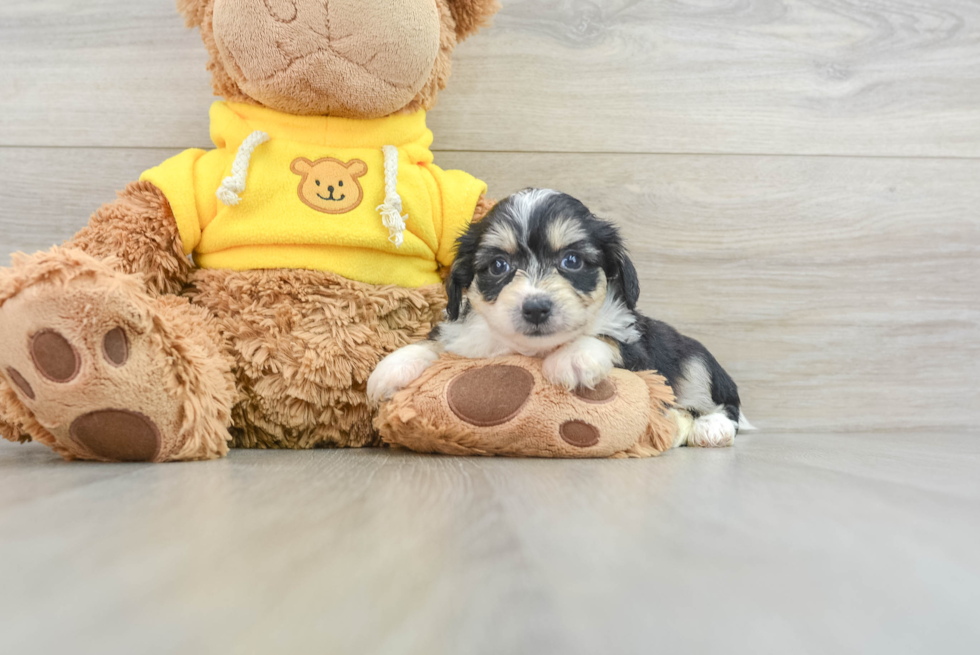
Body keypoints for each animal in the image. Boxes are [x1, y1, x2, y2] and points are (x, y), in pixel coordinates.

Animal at [366, 187, 752, 448]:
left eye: (572, 261)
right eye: (498, 266)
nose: (536, 307)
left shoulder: (638, 352)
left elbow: (605, 337)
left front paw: (573, 357)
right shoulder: (468, 338)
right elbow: (437, 344)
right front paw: (394, 366)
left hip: (697, 361)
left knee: (724, 404)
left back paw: (709, 427)